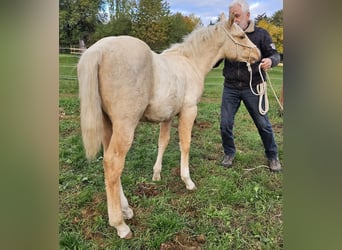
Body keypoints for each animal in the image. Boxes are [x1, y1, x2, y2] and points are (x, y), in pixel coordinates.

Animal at [77, 13, 260, 238]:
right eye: (241, 36)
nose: (258, 54)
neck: (190, 63)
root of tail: (98, 51)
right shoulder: (189, 111)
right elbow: (185, 144)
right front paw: (188, 181)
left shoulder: (168, 116)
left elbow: (163, 142)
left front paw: (156, 175)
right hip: (125, 126)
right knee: (113, 163)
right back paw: (120, 224)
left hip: (107, 125)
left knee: (109, 163)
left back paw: (126, 209)